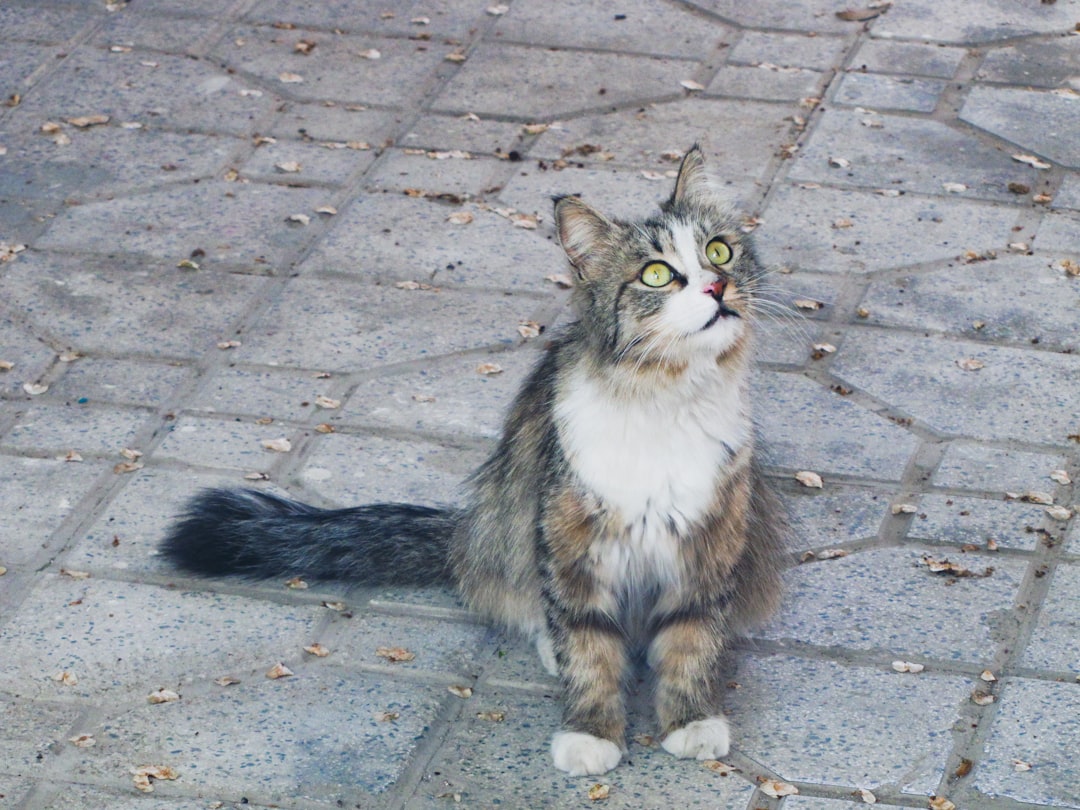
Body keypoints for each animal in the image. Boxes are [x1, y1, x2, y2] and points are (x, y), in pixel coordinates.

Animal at [162, 145, 786, 781]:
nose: (717, 285)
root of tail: (463, 531)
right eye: (656, 274)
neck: (666, 398)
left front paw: (691, 721)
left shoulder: (709, 545)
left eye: (719, 251)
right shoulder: (571, 542)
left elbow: (692, 642)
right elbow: (587, 648)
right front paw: (590, 733)